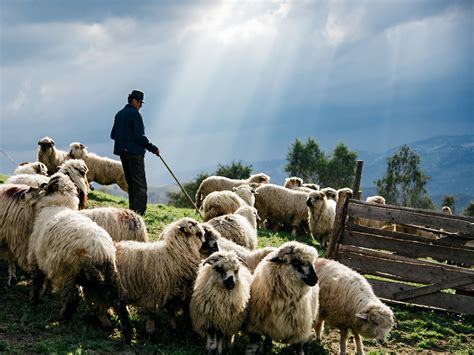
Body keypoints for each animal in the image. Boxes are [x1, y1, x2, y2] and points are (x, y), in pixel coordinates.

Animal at [28, 179, 132, 344]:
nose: (32, 188)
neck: (56, 205)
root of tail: (100, 250)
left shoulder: (35, 257)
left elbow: (37, 282)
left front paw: (33, 302)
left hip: (66, 271)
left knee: (73, 297)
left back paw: (63, 318)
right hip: (110, 275)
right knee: (119, 301)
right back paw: (126, 334)